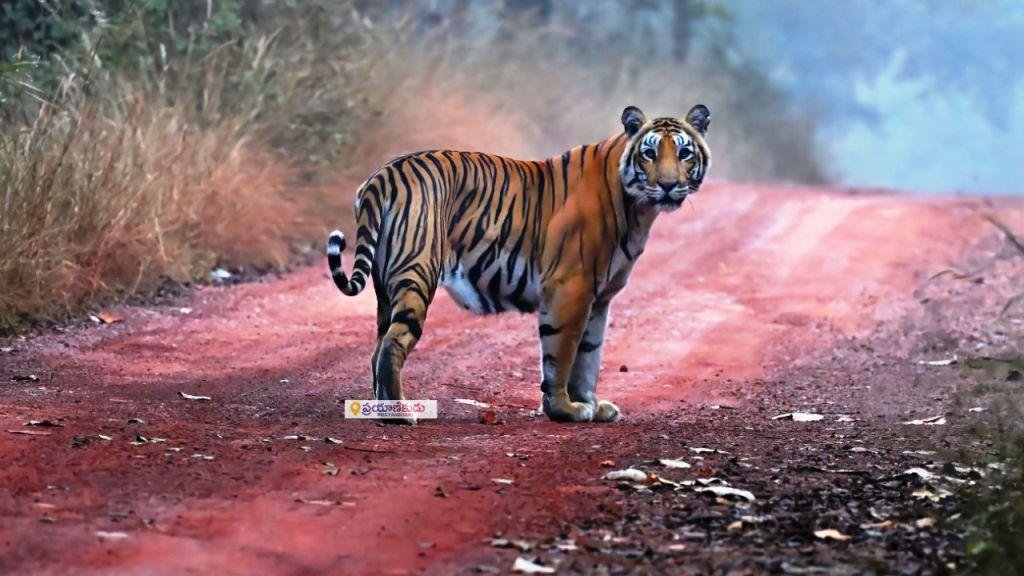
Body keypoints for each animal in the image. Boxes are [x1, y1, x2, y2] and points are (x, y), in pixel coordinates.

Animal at [327, 104, 712, 422]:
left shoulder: (600, 298)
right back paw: (399, 415)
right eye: (649, 153)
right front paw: (566, 410)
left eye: (684, 153)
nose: (668, 185)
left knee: (377, 347)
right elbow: (562, 353)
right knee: (392, 344)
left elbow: (590, 354)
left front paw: (592, 404)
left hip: (385, 286)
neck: (638, 210)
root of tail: (383, 174)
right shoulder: (570, 287)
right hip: (416, 273)